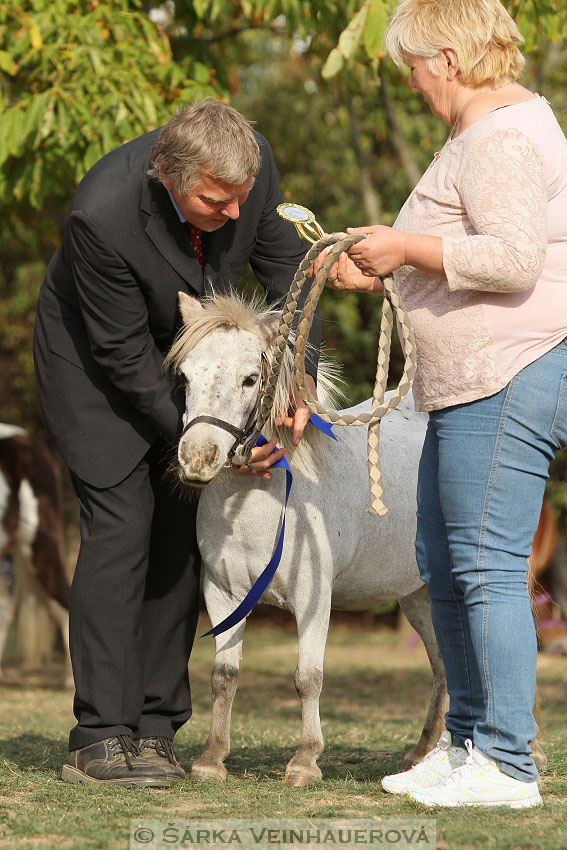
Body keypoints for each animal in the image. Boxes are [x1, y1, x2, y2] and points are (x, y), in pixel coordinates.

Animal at [169, 290, 448, 780]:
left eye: (250, 379)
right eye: (185, 376)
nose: (197, 459)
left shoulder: (314, 597)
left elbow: (307, 677)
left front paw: (305, 760)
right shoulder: (222, 593)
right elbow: (224, 677)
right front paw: (211, 759)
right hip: (418, 596)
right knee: (444, 666)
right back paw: (422, 754)